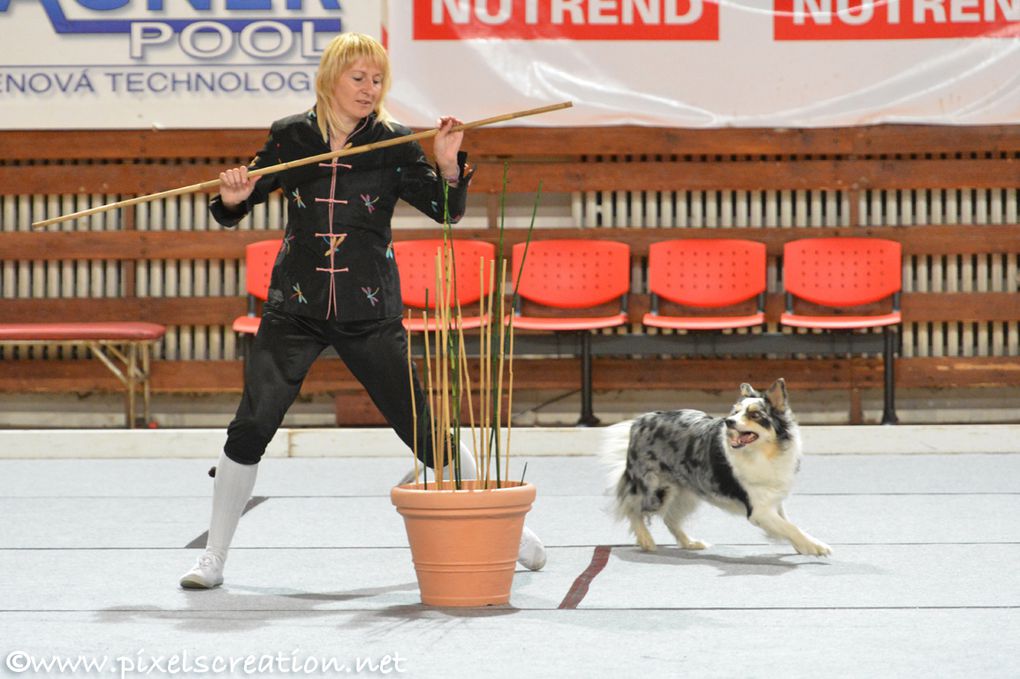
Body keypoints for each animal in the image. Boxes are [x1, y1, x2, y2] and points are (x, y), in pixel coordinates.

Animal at [603, 377, 828, 554]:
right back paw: (646, 540)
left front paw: (803, 546)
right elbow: (790, 528)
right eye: (735, 412)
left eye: (754, 414)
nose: (729, 421)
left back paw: (690, 543)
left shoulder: (773, 498)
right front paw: (817, 547)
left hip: (686, 493)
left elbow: (788, 524)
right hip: (654, 489)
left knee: (669, 518)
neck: (764, 454)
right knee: (631, 507)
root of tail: (640, 421)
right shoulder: (758, 509)